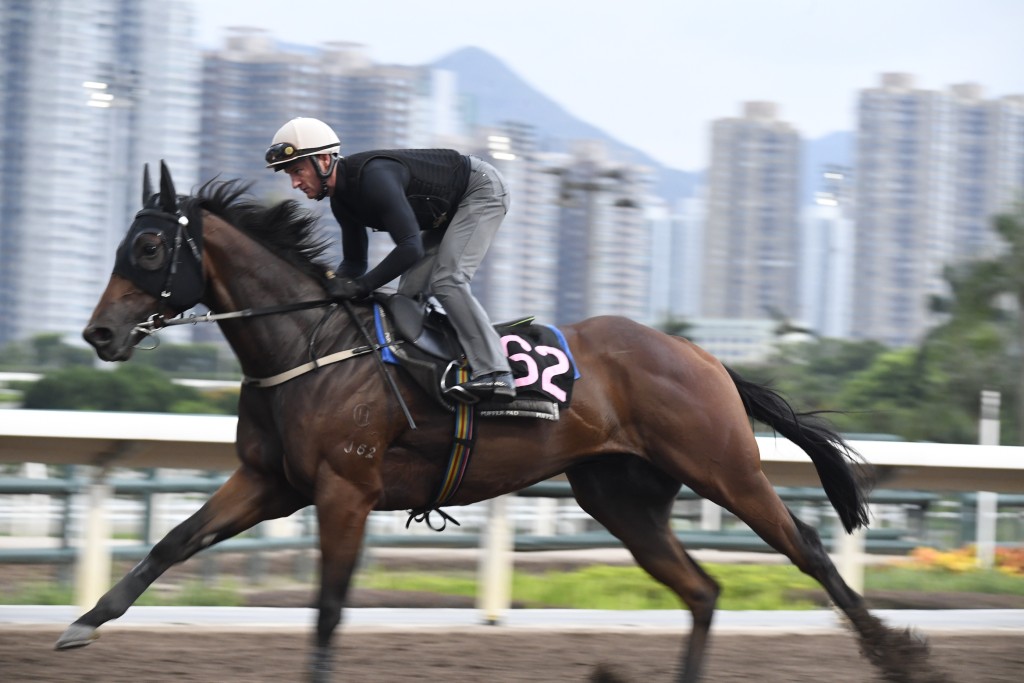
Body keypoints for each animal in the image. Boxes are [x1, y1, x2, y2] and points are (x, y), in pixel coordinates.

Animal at [54, 162, 937, 679]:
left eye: (147, 247)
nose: (99, 333)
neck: (311, 345)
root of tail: (705, 356)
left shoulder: (343, 487)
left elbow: (329, 605)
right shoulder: (271, 480)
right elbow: (172, 542)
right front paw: (83, 624)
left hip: (723, 466)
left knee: (807, 548)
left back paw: (897, 650)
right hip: (619, 496)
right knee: (703, 588)